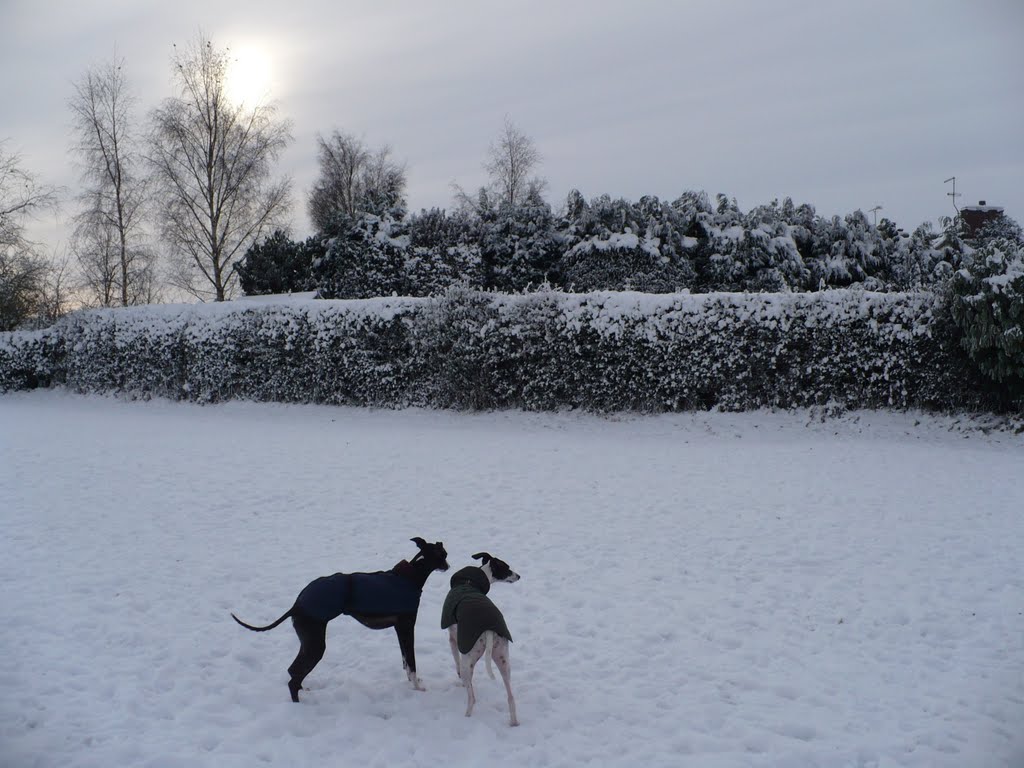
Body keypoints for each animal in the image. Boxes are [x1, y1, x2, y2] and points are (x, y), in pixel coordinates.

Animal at [232, 540, 448, 704]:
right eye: (443, 554)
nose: (448, 565)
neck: (410, 577)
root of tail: (297, 604)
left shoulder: (399, 629)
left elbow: (405, 661)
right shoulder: (406, 627)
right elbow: (411, 663)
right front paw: (418, 687)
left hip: (308, 642)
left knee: (293, 671)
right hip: (316, 645)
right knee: (293, 677)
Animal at [440, 552, 520, 729]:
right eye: (507, 568)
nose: (519, 576)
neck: (469, 583)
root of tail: (488, 631)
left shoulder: (453, 639)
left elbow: (456, 661)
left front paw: (460, 679)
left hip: (468, 658)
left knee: (472, 697)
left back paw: (466, 718)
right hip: (503, 659)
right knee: (511, 697)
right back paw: (514, 723)